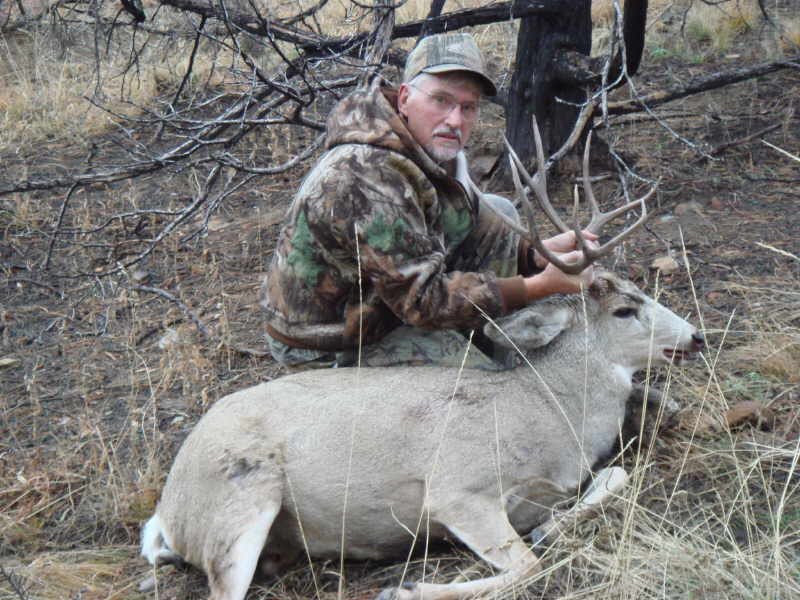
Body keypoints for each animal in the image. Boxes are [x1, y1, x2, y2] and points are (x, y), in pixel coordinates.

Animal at [141, 123, 704, 600]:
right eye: (625, 309)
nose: (696, 337)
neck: (547, 412)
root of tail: (167, 510)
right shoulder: (457, 488)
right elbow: (527, 566)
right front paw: (406, 589)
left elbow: (612, 480)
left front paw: (548, 527)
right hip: (238, 502)